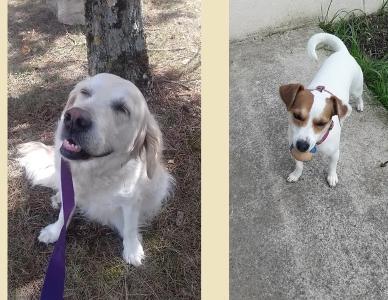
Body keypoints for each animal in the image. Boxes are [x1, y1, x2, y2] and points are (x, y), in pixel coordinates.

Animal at [17, 72, 173, 264]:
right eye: (85, 92)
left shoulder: (131, 200)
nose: (74, 118)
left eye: (122, 109)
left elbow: (129, 226)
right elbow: (63, 215)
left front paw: (132, 248)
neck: (94, 173)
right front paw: (54, 231)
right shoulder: (72, 189)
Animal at [278, 33, 364, 188]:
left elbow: (332, 165)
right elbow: (299, 164)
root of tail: (343, 52)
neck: (317, 143)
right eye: (297, 115)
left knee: (359, 96)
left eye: (322, 123)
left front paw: (332, 176)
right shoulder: (293, 145)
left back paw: (360, 105)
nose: (302, 146)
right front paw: (296, 174)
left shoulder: (335, 153)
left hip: (356, 88)